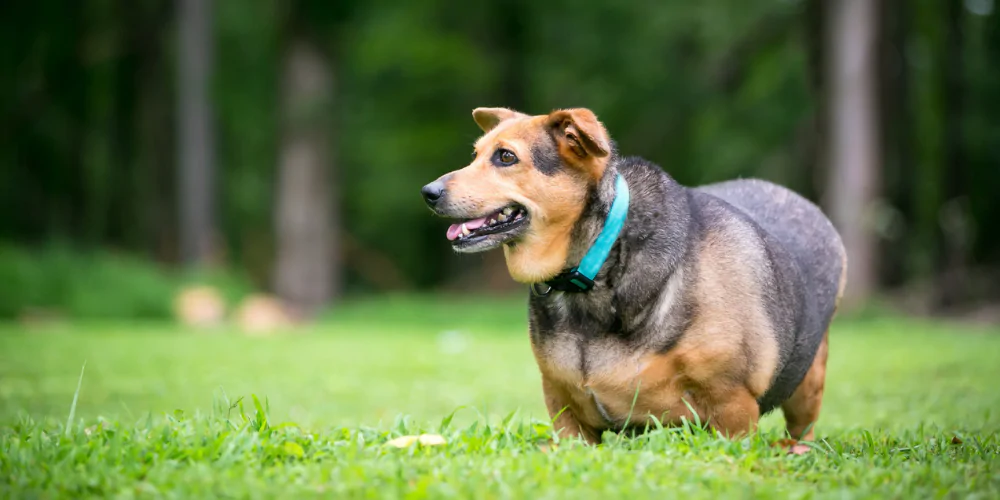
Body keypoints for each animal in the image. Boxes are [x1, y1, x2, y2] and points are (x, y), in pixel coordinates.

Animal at [420, 107, 844, 444]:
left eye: (506, 157)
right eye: (475, 155)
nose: (428, 191)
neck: (596, 265)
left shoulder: (732, 409)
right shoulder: (566, 414)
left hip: (808, 385)